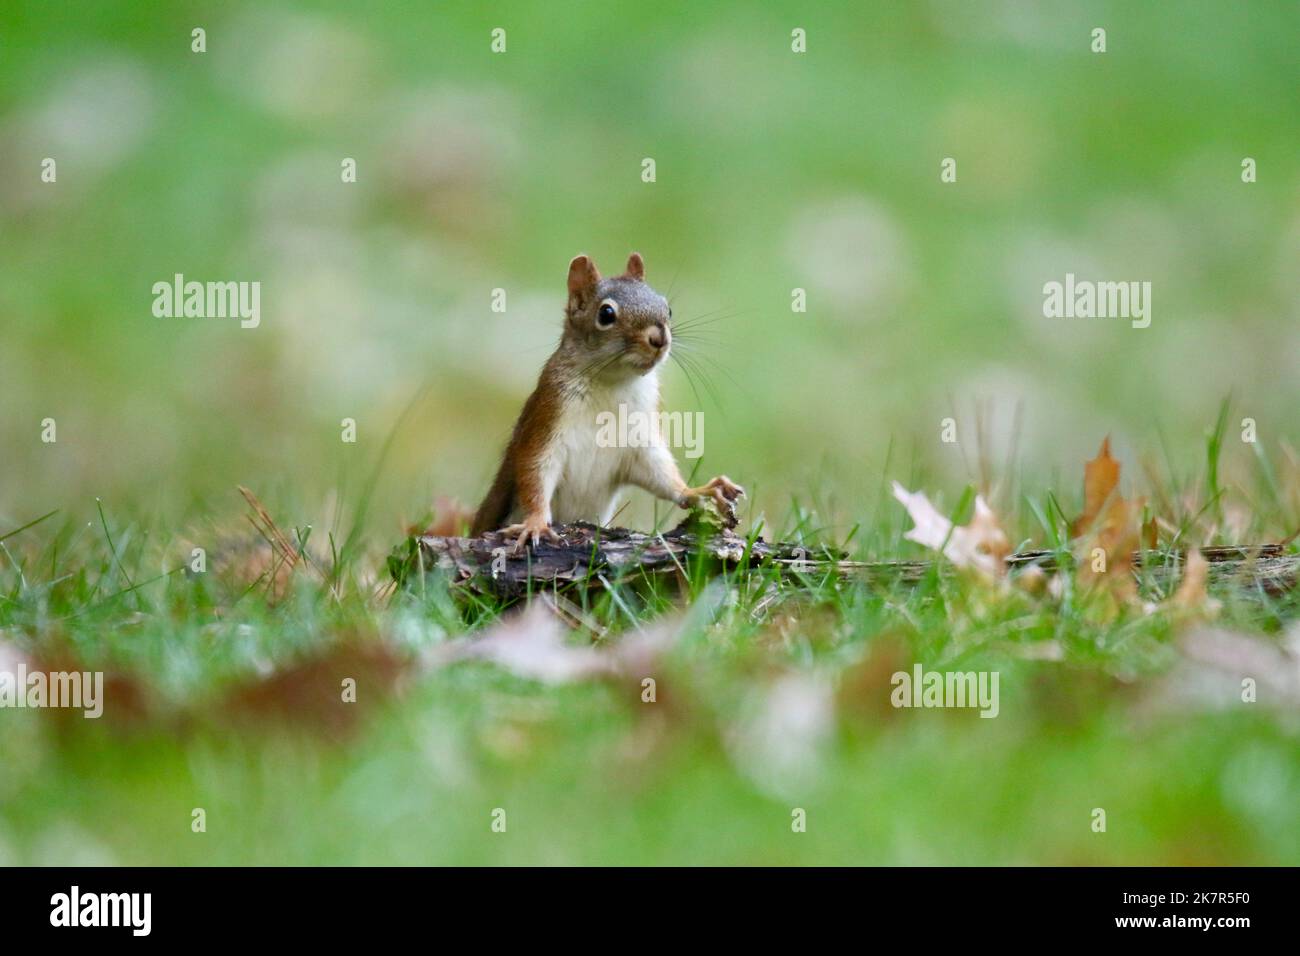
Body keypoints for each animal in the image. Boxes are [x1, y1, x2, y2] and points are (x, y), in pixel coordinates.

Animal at [471, 252, 744, 551]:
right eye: (606, 314)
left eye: (668, 309)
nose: (659, 338)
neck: (613, 384)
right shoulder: (548, 417)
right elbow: (535, 471)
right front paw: (536, 523)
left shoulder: (641, 441)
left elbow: (662, 475)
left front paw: (699, 491)